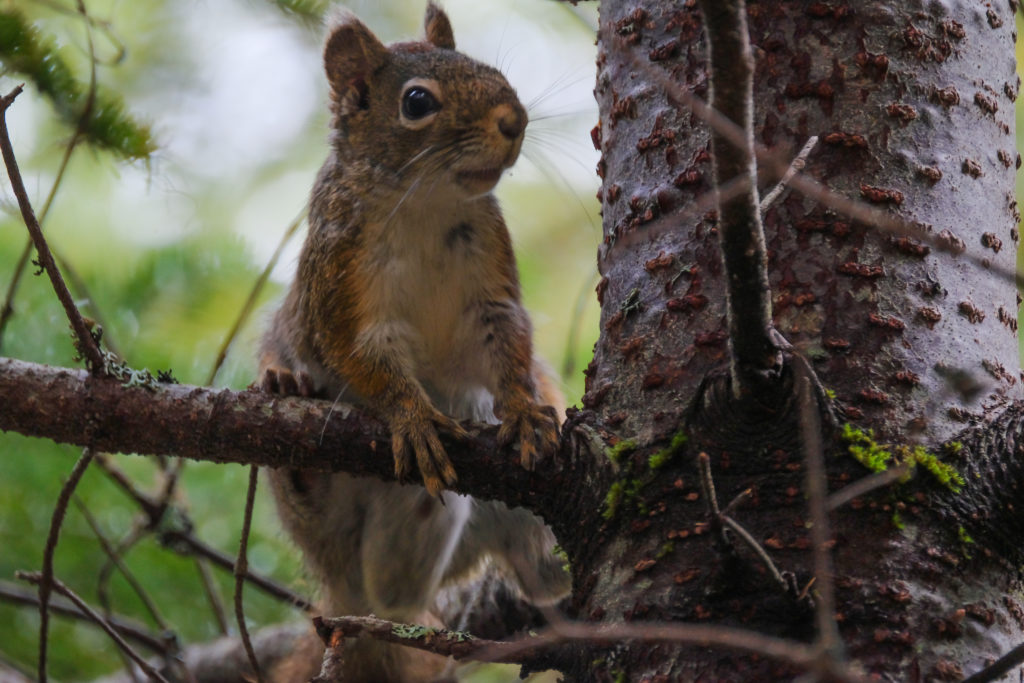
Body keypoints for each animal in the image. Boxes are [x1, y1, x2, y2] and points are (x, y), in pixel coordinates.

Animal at [256, 2, 573, 679]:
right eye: (417, 102)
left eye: (490, 68)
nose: (514, 120)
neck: (425, 203)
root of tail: (345, 597)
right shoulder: (340, 294)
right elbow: (363, 359)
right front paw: (413, 416)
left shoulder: (490, 289)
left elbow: (508, 347)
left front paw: (524, 410)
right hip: (324, 529)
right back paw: (293, 424)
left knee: (498, 577)